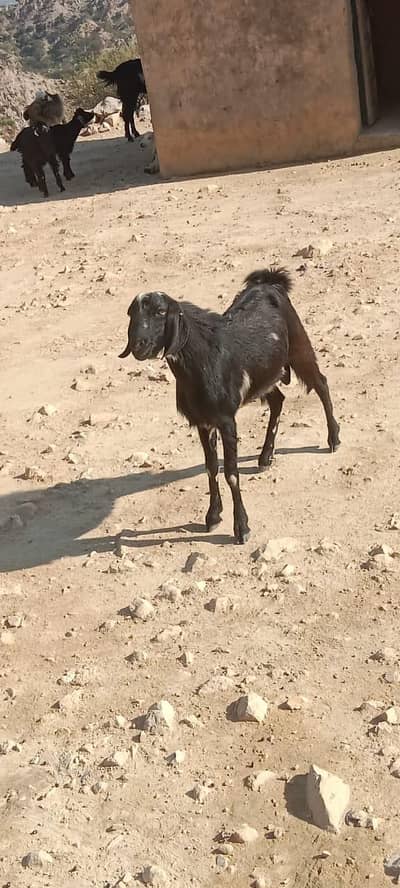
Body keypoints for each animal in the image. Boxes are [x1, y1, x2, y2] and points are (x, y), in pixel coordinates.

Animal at [119, 269, 341, 544]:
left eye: (160, 311)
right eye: (132, 313)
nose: (138, 345)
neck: (202, 361)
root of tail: (269, 282)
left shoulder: (226, 420)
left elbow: (231, 473)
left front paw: (241, 527)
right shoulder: (203, 422)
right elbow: (211, 468)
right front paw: (213, 516)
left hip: (300, 346)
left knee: (321, 383)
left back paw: (333, 438)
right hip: (264, 377)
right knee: (278, 400)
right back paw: (265, 456)